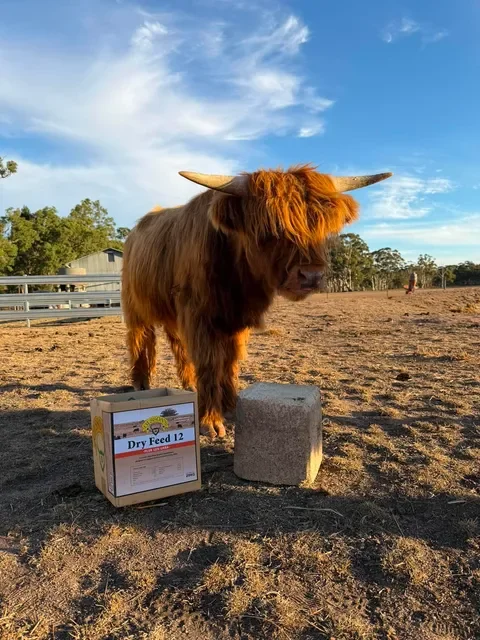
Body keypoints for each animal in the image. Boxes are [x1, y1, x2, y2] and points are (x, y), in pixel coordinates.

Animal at [122, 165, 392, 438]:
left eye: (321, 227)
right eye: (270, 229)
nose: (311, 276)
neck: (237, 278)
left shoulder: (236, 320)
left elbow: (230, 361)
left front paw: (231, 404)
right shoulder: (199, 315)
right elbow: (210, 362)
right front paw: (211, 420)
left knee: (177, 344)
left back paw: (188, 385)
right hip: (134, 305)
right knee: (139, 337)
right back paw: (141, 382)